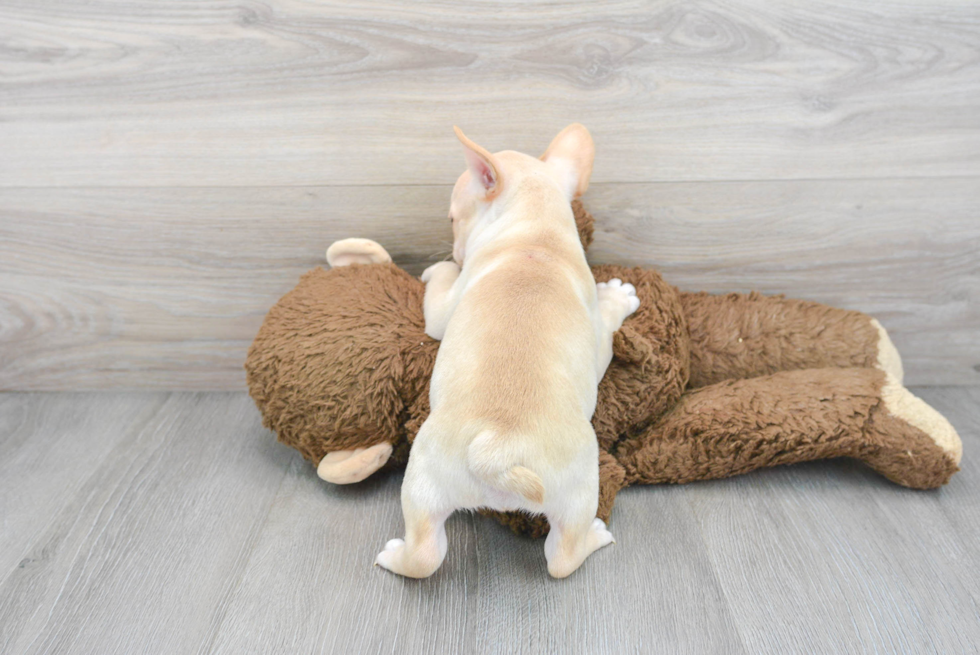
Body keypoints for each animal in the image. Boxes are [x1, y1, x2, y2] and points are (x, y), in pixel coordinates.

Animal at [374, 124, 636, 580]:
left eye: (452, 218)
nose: (456, 251)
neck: (537, 233)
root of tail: (497, 452)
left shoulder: (442, 311)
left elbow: (441, 292)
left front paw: (440, 268)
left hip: (428, 475)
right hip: (564, 485)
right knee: (559, 557)